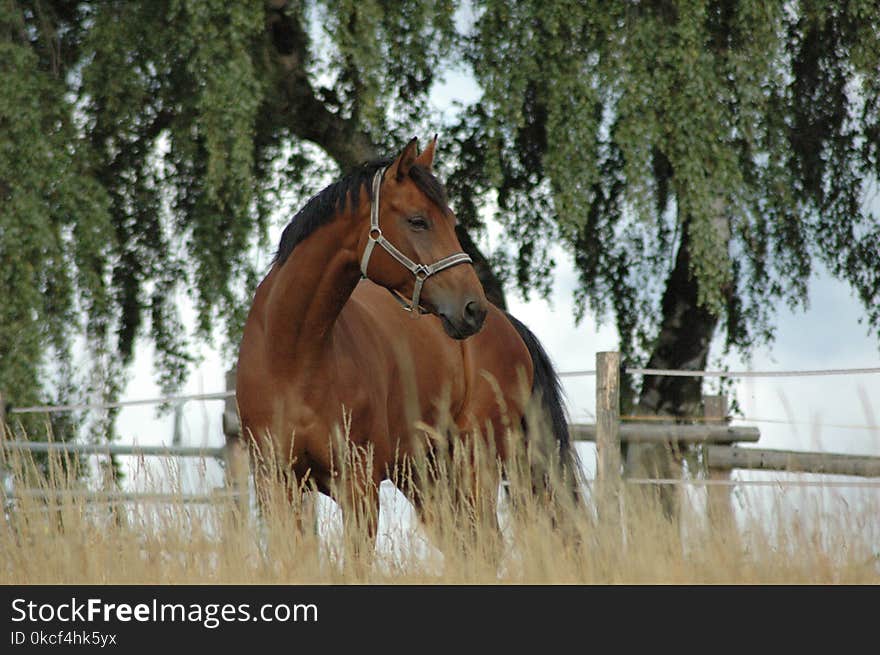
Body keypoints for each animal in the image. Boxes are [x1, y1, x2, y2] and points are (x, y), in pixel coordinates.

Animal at [234, 136, 576, 544]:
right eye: (418, 220)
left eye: (453, 222)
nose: (472, 308)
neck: (293, 356)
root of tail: (507, 324)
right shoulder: (275, 484)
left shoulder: (359, 487)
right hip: (426, 479)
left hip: (473, 464)